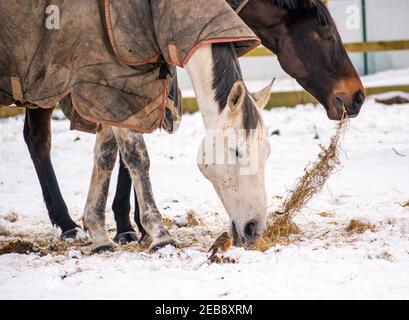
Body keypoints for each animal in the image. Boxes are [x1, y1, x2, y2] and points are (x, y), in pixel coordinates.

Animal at [16, 0, 364, 242]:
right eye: (326, 32)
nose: (357, 96)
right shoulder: (115, 81)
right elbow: (131, 153)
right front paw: (144, 230)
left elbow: (115, 151)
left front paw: (126, 227)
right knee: (38, 141)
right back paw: (66, 225)